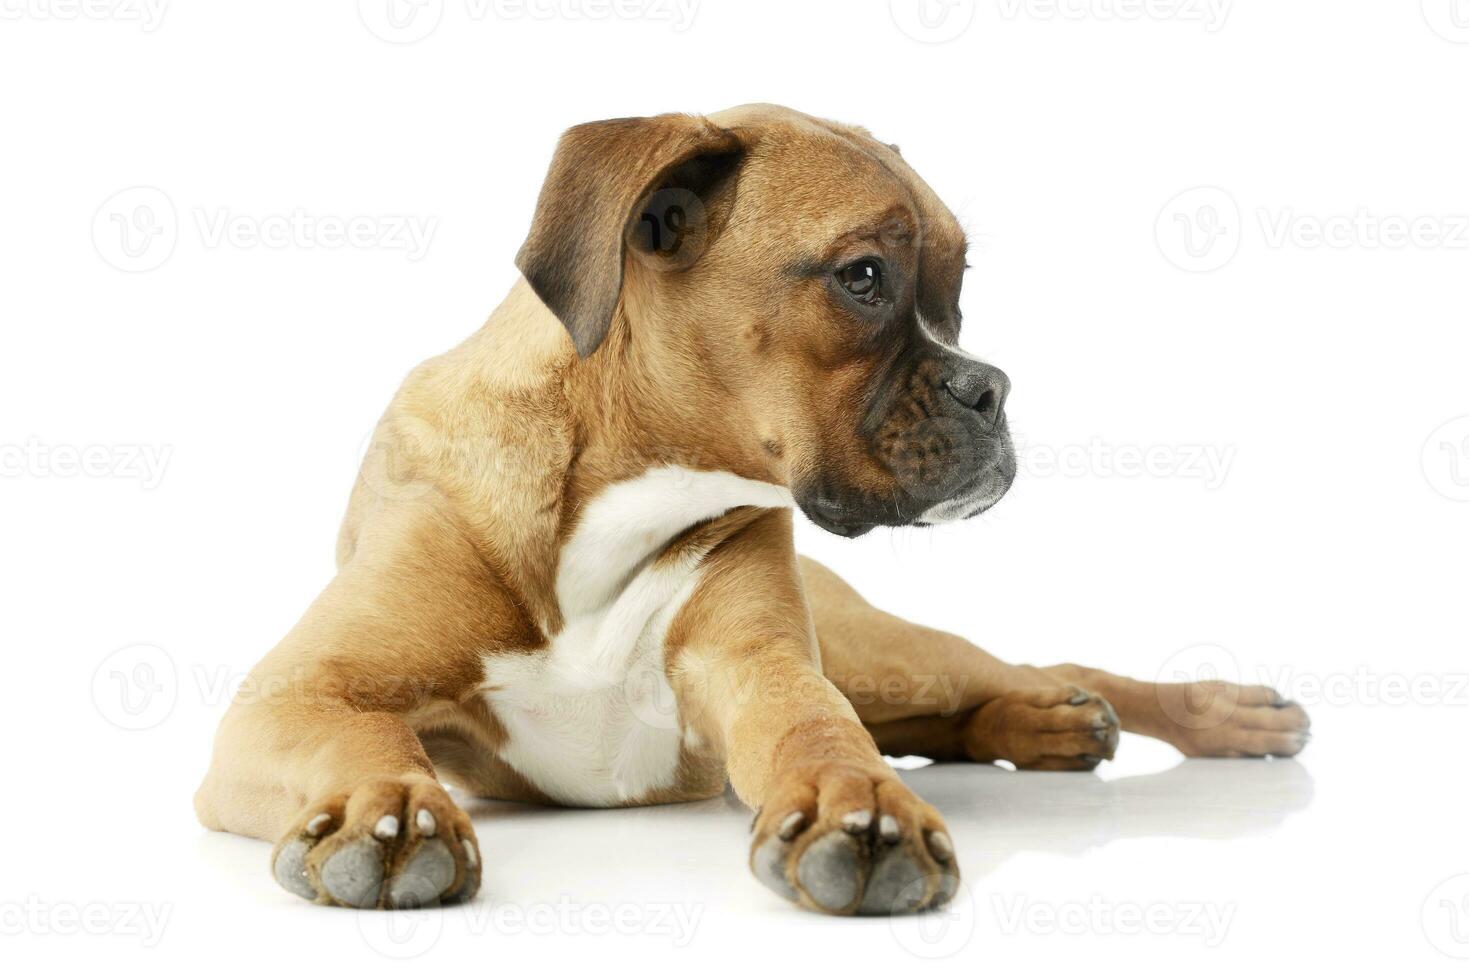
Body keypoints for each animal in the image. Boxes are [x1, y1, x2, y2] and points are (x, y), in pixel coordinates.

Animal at [195, 103, 1310, 916]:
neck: (620, 481)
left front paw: (857, 805)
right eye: (863, 276)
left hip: (876, 647)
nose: (990, 387)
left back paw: (1203, 712)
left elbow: (820, 734)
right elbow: (363, 741)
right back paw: (1051, 725)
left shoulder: (766, 664)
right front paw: (388, 806)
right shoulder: (296, 695)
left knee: (1027, 669)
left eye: (957, 290)